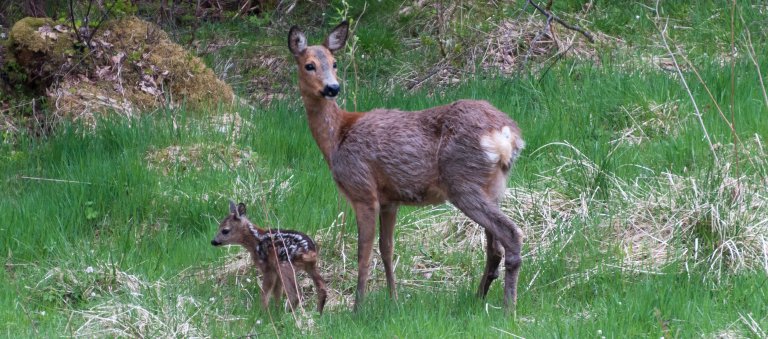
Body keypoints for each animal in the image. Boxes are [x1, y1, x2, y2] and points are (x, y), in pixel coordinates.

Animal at [284, 22, 524, 312]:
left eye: (334, 63)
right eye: (309, 65)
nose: (332, 88)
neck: (337, 138)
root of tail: (506, 134)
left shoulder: (362, 189)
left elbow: (363, 252)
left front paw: (357, 307)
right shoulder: (390, 199)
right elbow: (387, 248)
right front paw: (393, 299)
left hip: (462, 181)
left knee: (510, 233)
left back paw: (508, 306)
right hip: (493, 185)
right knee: (494, 247)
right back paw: (479, 297)